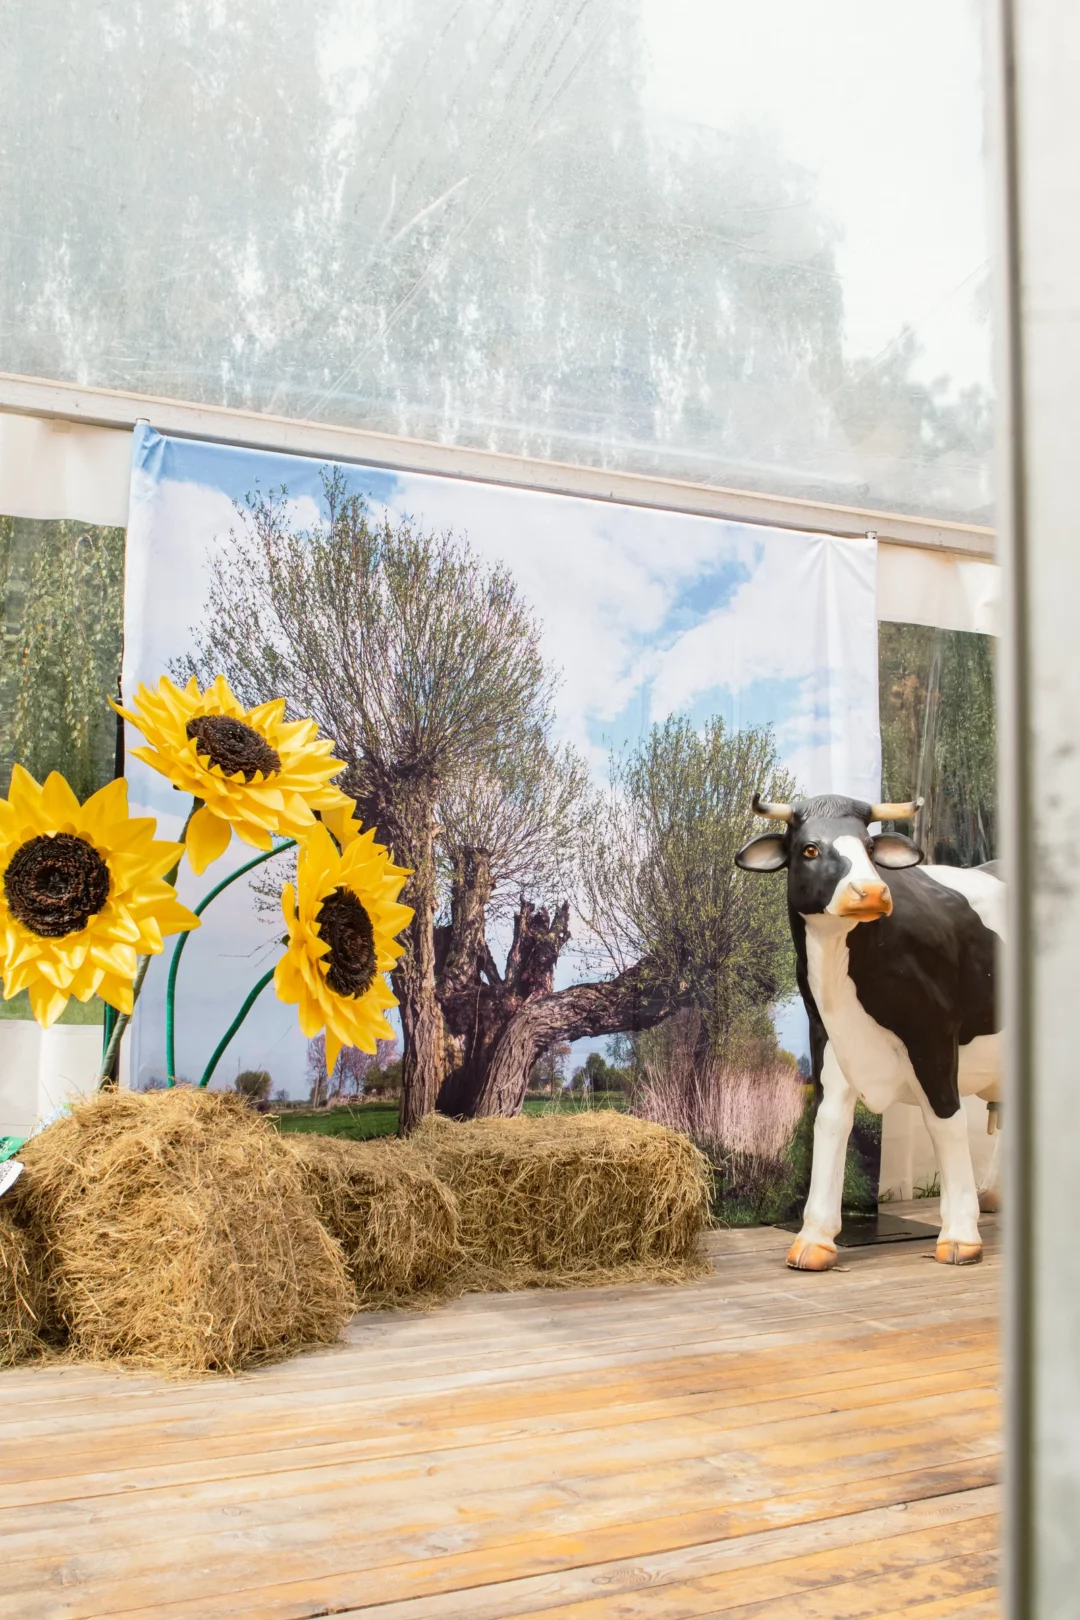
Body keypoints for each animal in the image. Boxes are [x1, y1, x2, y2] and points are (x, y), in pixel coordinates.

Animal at [735, 790, 1003, 1270]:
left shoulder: (934, 1034)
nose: (873, 891)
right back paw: (992, 1194)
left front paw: (959, 1235)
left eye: (869, 847)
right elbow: (829, 1121)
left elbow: (945, 1121)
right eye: (810, 849)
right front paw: (815, 1238)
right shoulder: (827, 1032)